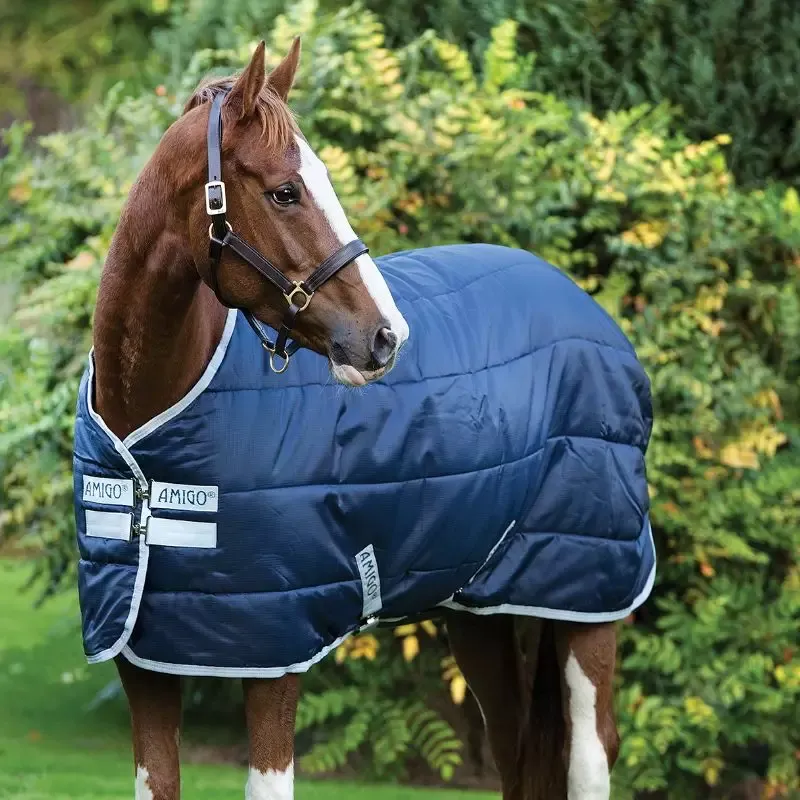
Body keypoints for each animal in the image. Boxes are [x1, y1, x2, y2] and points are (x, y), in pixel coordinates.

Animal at [75, 37, 654, 800]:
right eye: (285, 191)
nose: (386, 337)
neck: (148, 437)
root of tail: (590, 312)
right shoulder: (142, 660)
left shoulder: (275, 656)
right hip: (482, 611)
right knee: (519, 750)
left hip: (589, 596)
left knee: (589, 752)